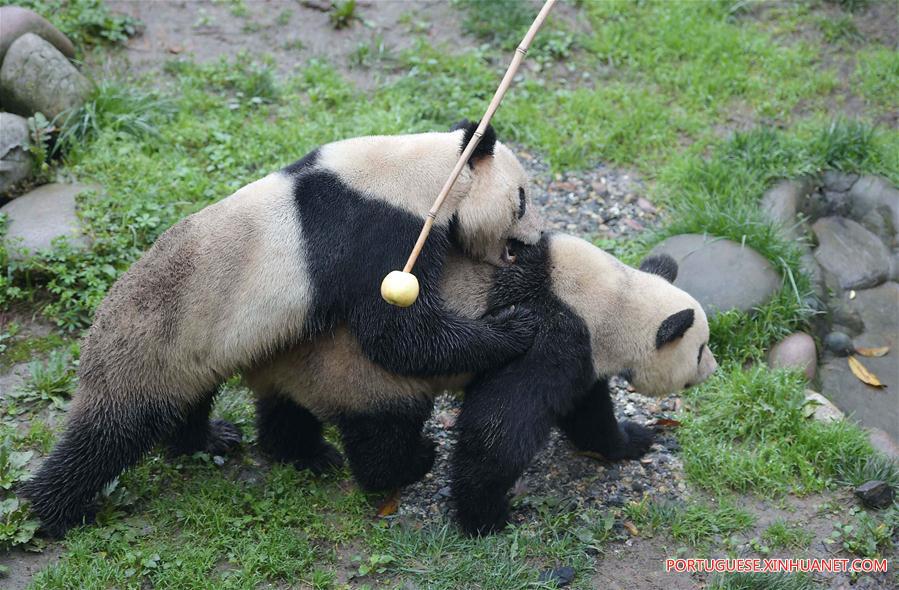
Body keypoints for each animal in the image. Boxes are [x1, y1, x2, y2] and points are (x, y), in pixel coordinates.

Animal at [21, 121, 544, 537]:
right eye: (521, 200)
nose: (537, 240)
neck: (422, 170)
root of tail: (95, 334)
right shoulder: (380, 232)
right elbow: (397, 334)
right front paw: (513, 328)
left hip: (196, 353)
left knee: (191, 403)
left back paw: (224, 440)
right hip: (148, 347)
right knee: (108, 436)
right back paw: (54, 512)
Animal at [244, 233, 718, 535]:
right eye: (700, 349)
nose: (713, 370)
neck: (610, 296)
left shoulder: (583, 350)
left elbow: (588, 412)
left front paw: (631, 439)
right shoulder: (552, 331)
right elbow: (500, 428)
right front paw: (486, 517)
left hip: (301, 369)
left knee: (284, 409)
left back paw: (298, 451)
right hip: (359, 372)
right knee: (385, 427)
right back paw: (410, 462)